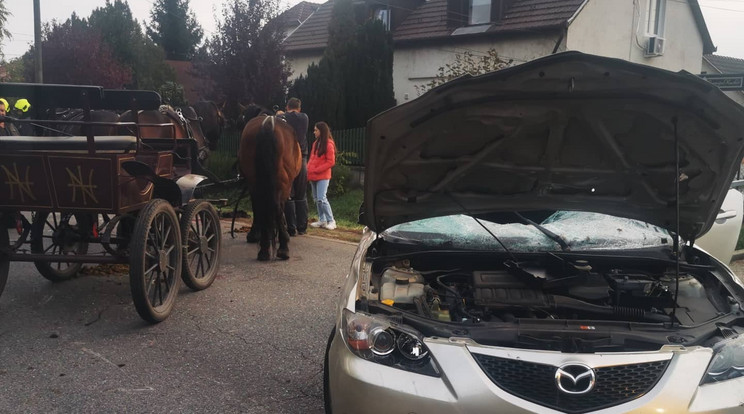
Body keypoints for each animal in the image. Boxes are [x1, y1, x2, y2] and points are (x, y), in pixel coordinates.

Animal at [235, 115, 300, 260]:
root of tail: (268, 124)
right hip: (283, 185)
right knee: (276, 208)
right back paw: (282, 247)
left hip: (257, 183)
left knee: (262, 207)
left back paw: (264, 249)